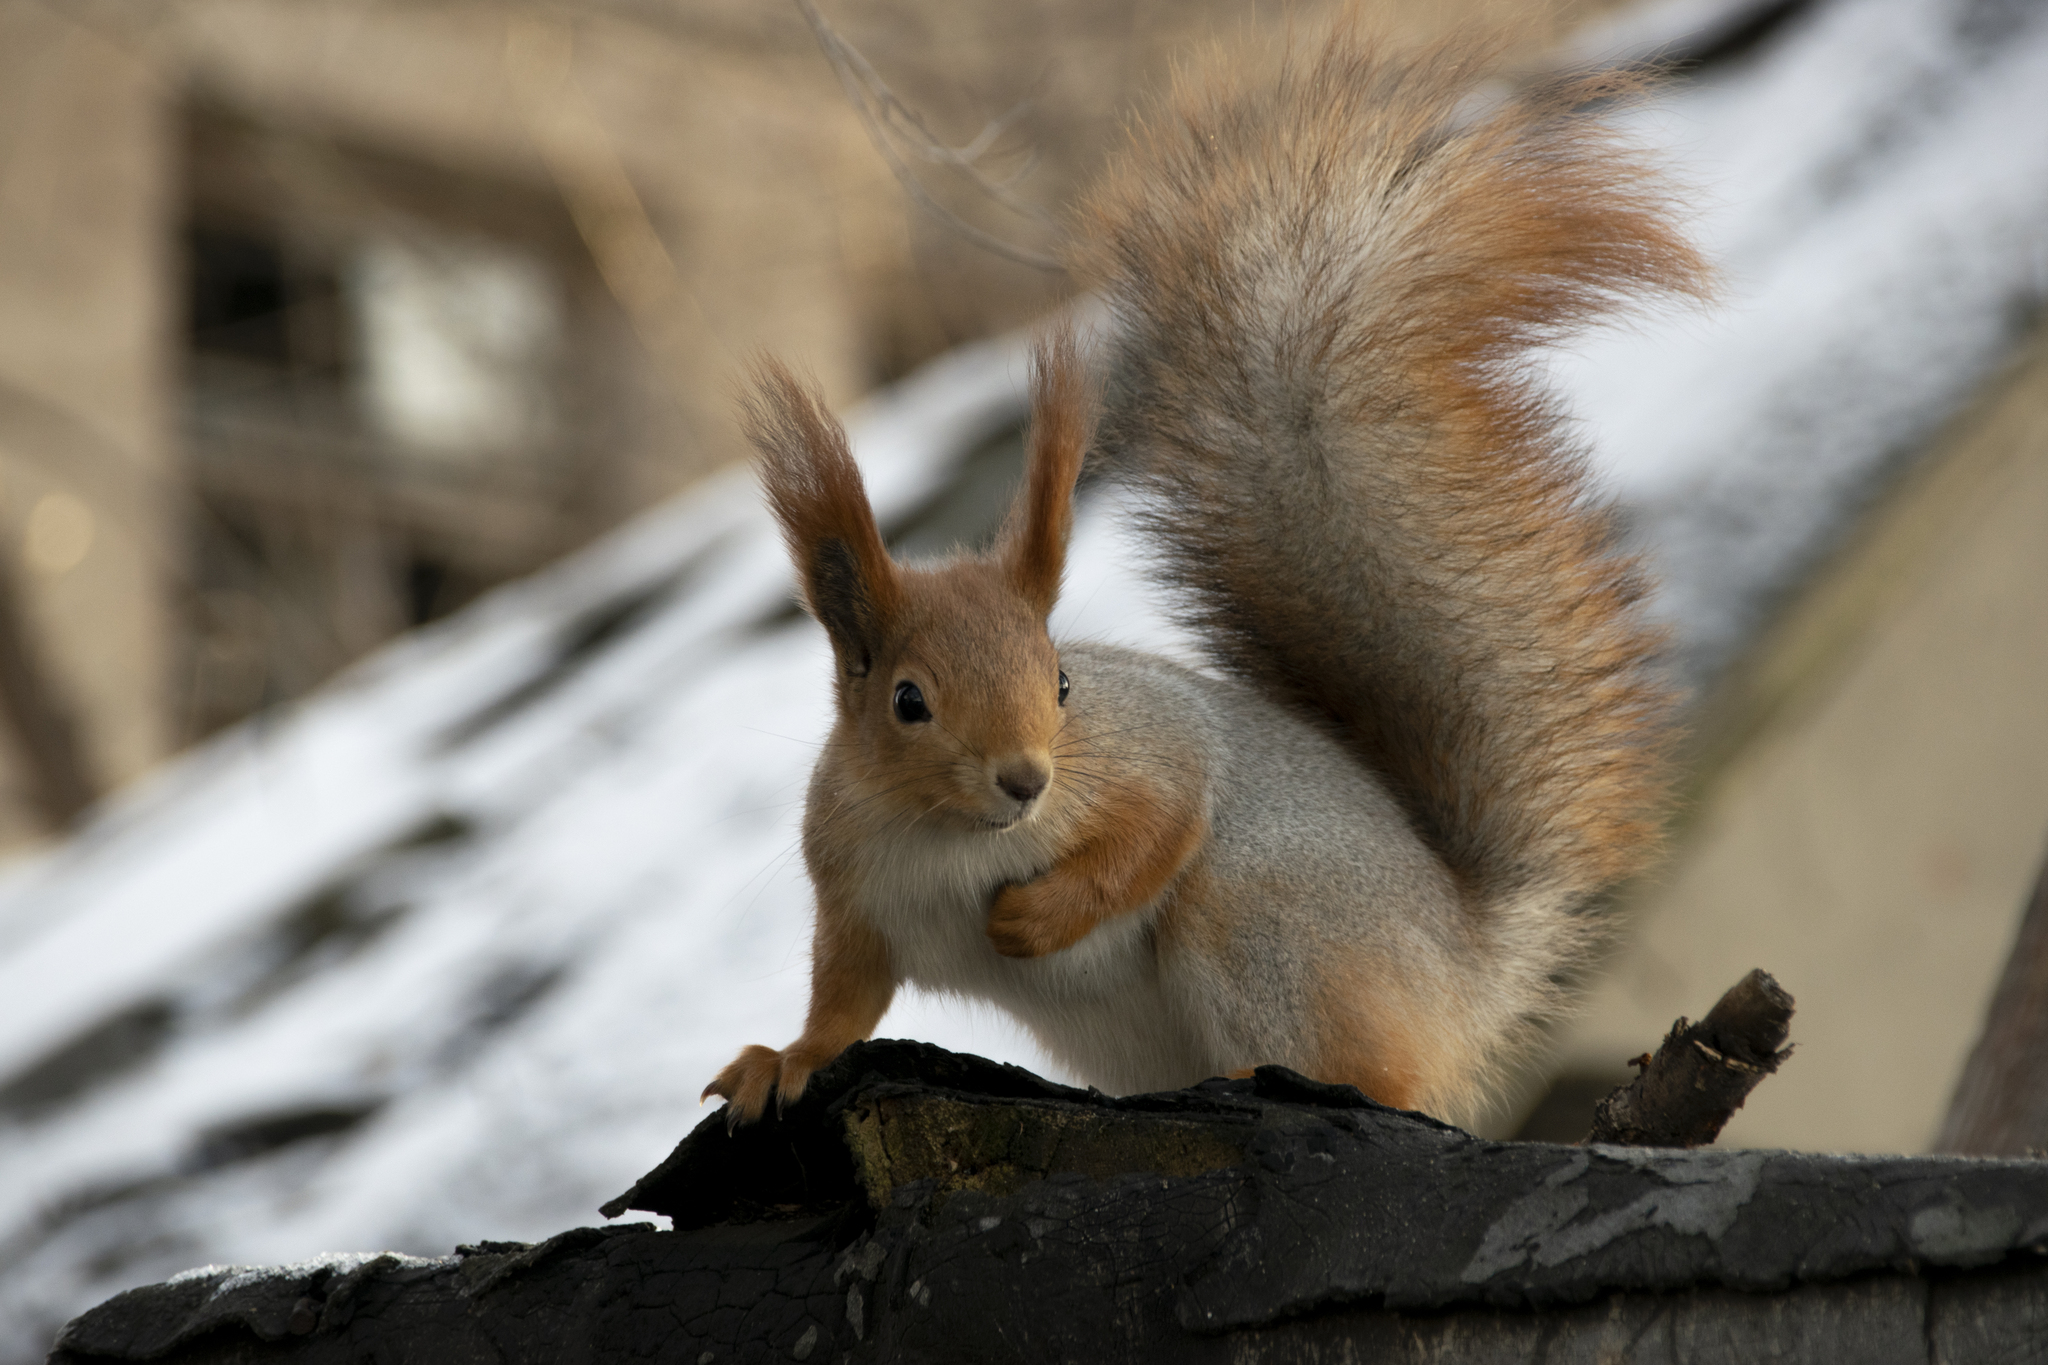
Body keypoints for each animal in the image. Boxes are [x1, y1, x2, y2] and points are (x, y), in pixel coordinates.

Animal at [708, 26, 1712, 1129]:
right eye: (906, 702)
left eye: (1063, 680)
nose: (1026, 779)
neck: (954, 836)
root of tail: (1463, 971)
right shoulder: (851, 895)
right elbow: (842, 1004)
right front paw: (781, 1059)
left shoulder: (1148, 752)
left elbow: (1164, 821)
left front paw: (1030, 920)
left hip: (1260, 919)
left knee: (1376, 1077)